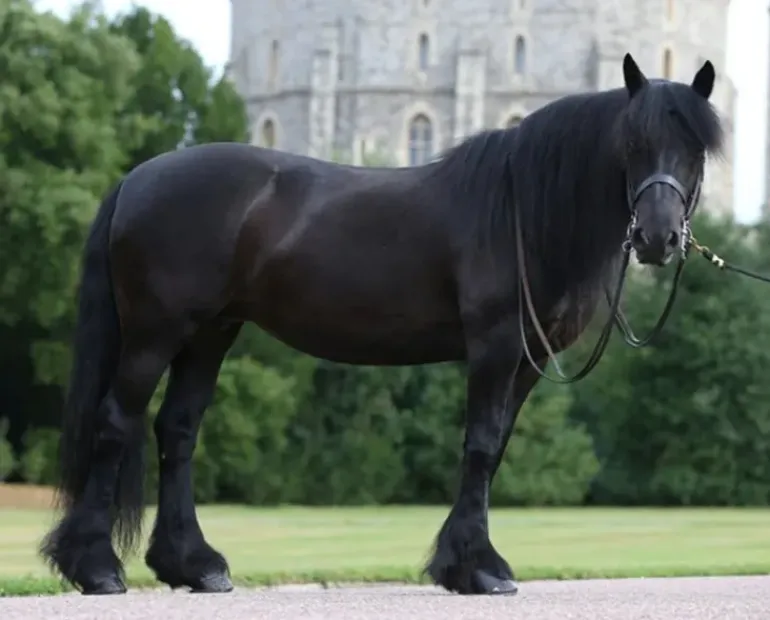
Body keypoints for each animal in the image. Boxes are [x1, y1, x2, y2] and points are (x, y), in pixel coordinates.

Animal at [39, 53, 722, 596]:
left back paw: (194, 566)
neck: (522, 212)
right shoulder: (496, 348)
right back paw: (97, 569)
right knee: (115, 424)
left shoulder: (528, 363)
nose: (657, 237)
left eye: (695, 149)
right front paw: (477, 568)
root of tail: (137, 178)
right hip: (154, 334)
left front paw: (465, 561)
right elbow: (479, 447)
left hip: (211, 334)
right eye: (631, 144)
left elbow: (496, 449)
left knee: (177, 431)